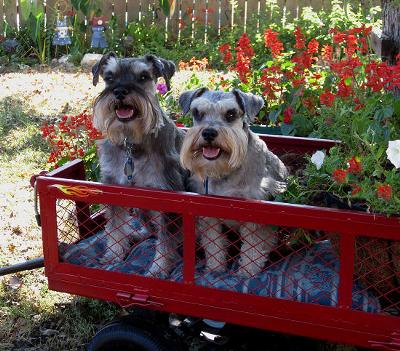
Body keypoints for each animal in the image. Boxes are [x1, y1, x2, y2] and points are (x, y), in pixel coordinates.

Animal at [91, 52, 185, 278]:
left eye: (143, 77)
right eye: (109, 77)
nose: (120, 91)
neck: (132, 144)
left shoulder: (166, 194)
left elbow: (166, 241)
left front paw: (158, 270)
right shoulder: (114, 188)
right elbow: (115, 228)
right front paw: (113, 256)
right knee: (149, 231)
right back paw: (135, 234)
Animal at [179, 87, 288, 278]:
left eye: (230, 114)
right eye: (197, 112)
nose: (208, 133)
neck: (225, 170)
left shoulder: (254, 216)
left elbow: (252, 247)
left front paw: (246, 273)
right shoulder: (209, 216)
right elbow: (214, 244)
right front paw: (215, 268)